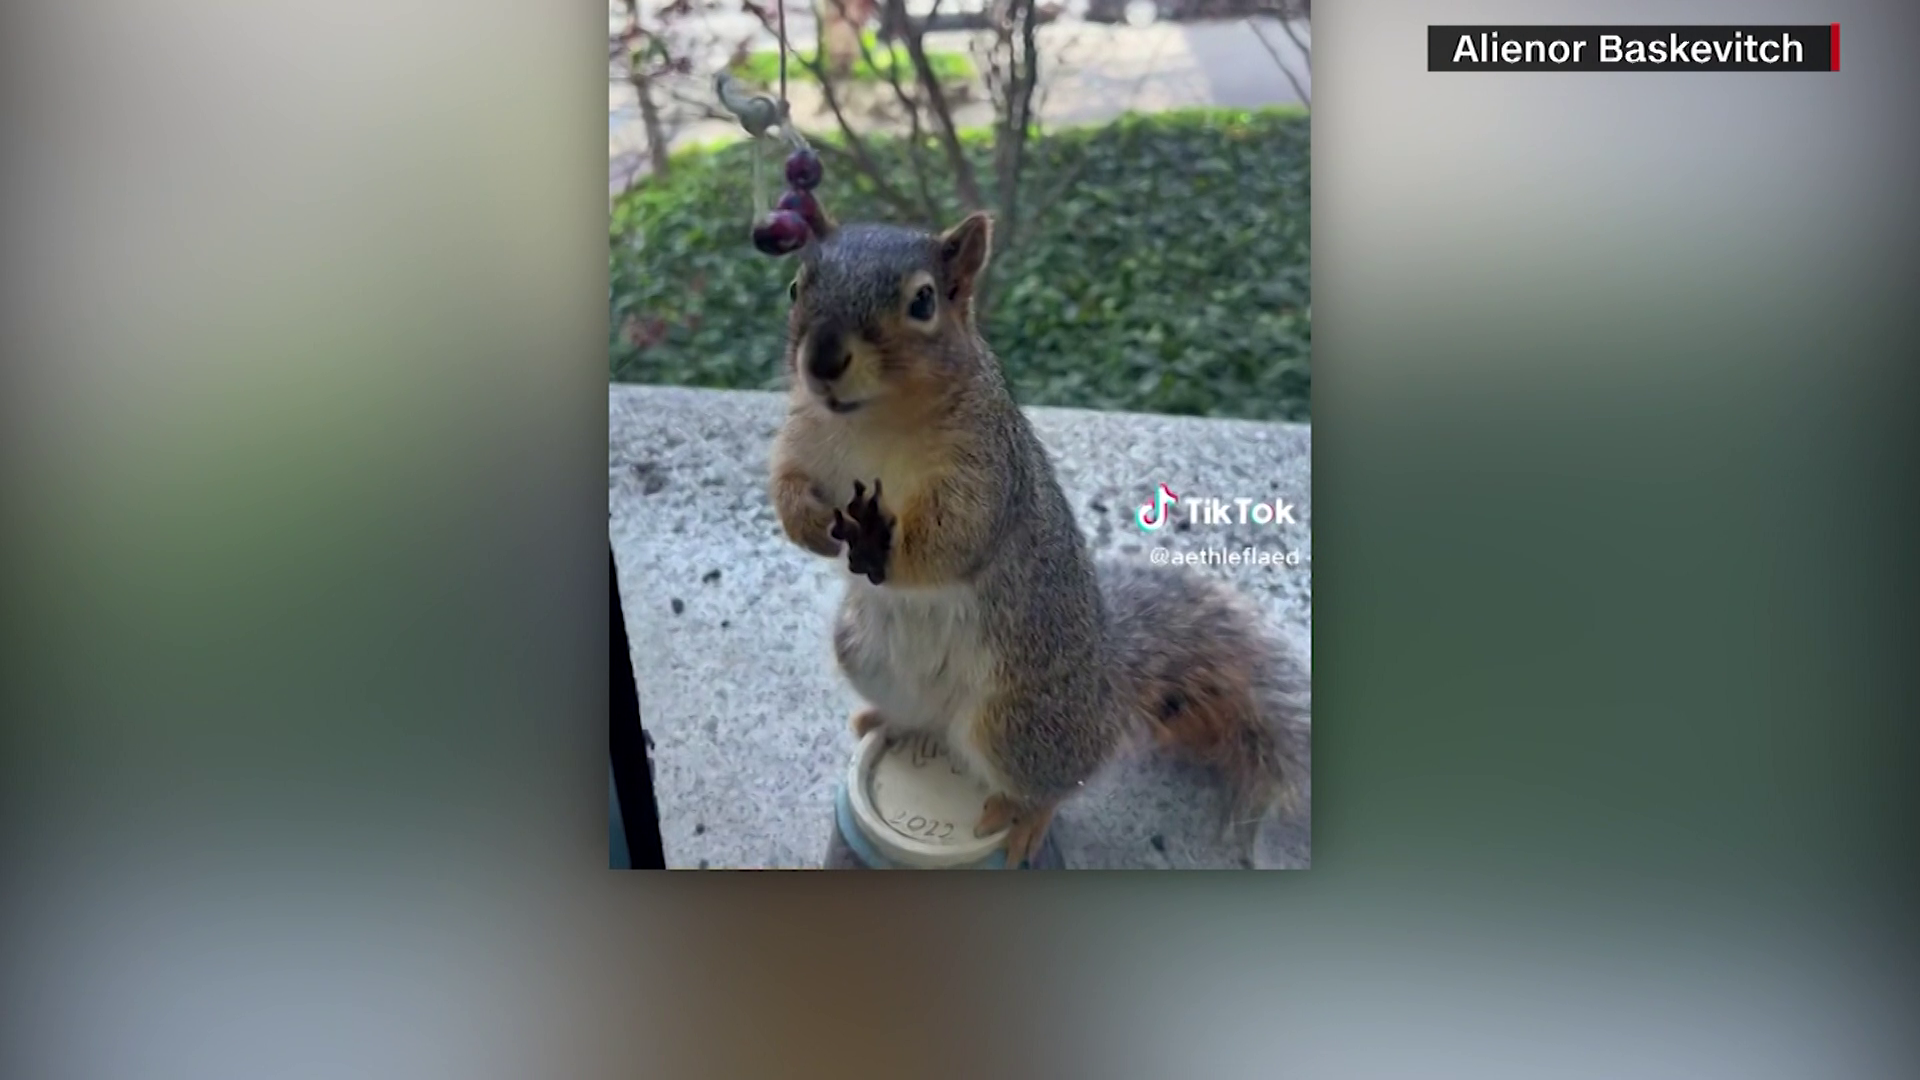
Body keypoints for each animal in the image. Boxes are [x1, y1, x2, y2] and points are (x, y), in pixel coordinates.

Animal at [768, 211, 1311, 867]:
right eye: (795, 288)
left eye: (922, 301)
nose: (821, 360)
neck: (872, 422)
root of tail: (1108, 688)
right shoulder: (804, 439)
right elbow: (786, 484)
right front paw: (810, 528)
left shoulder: (986, 474)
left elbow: (955, 539)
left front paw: (878, 548)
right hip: (865, 655)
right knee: (926, 722)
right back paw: (890, 723)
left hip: (1017, 722)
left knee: (1062, 779)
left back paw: (1025, 818)